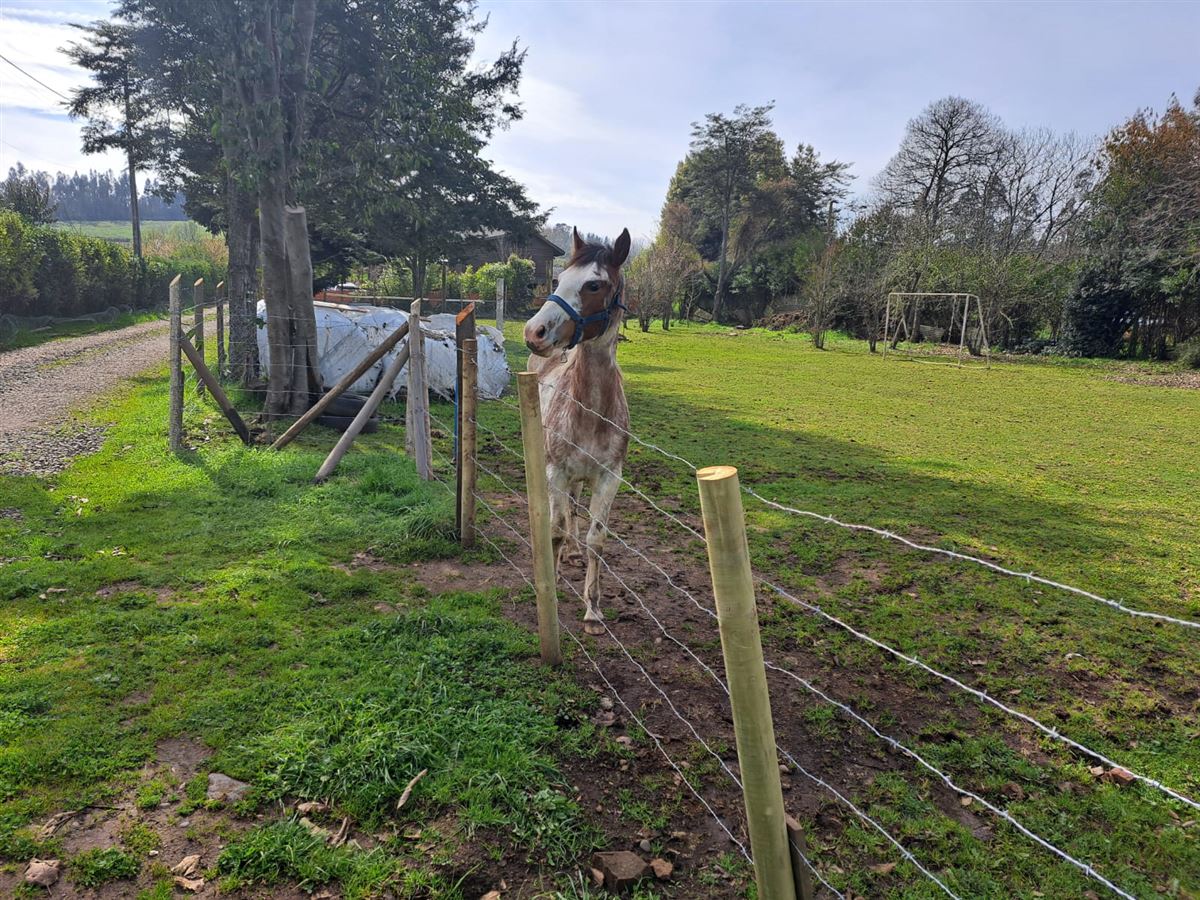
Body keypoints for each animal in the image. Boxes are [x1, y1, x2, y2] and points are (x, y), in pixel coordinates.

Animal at [525, 226, 638, 633]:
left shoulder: (609, 477)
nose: (535, 332)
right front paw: (553, 582)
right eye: (558, 281)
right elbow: (555, 530)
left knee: (575, 510)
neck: (591, 411)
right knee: (562, 514)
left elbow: (595, 539)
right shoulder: (556, 471)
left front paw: (592, 609)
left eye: (593, 284)